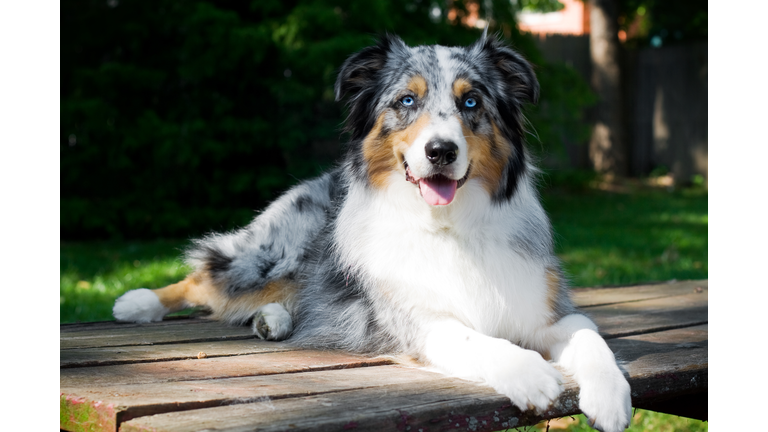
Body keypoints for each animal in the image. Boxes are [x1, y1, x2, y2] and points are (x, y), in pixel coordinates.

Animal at [112, 33, 632, 432]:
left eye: (471, 101)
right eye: (407, 101)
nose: (441, 151)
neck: (448, 226)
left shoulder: (546, 311)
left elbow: (590, 334)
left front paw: (610, 396)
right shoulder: (415, 323)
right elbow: (475, 339)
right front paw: (530, 373)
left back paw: (273, 320)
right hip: (269, 257)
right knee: (207, 275)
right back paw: (138, 302)